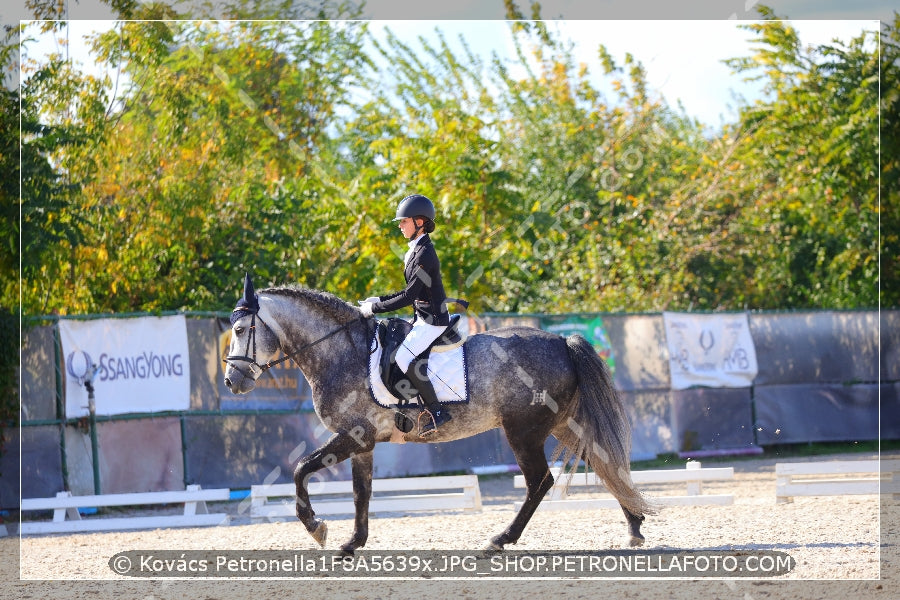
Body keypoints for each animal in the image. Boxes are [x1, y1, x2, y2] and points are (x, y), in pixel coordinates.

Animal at [224, 274, 652, 556]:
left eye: (242, 329)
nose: (232, 381)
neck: (343, 352)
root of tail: (563, 341)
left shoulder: (353, 434)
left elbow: (300, 469)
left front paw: (317, 528)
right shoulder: (363, 442)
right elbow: (362, 494)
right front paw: (352, 543)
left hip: (524, 431)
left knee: (540, 482)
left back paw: (500, 539)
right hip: (562, 425)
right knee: (604, 462)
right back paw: (633, 528)